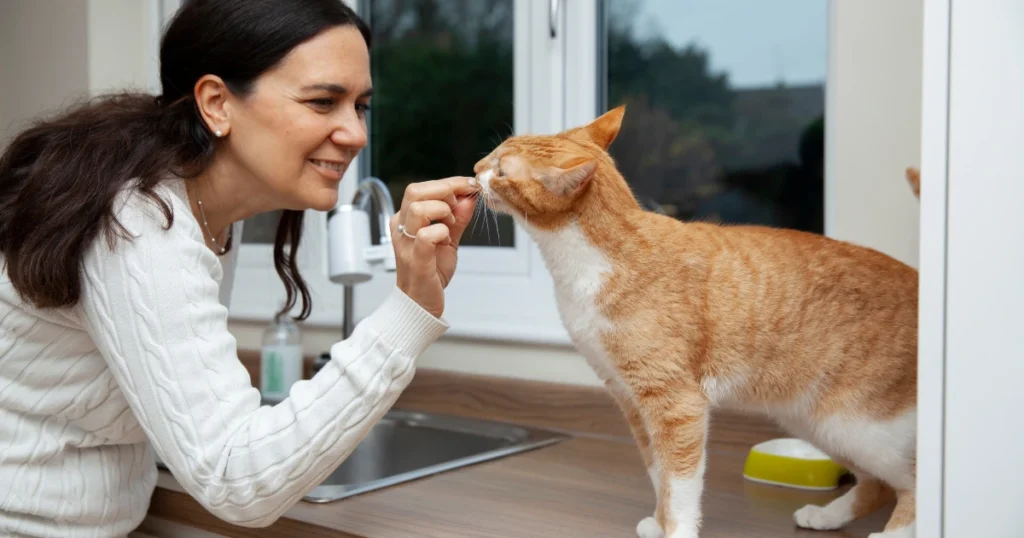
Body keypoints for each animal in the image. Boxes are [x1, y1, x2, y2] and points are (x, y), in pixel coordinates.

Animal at [473, 106, 921, 536]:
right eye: (492, 156)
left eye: (501, 170)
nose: (475, 169)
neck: (591, 263)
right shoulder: (630, 397)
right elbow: (659, 473)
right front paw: (658, 522)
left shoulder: (676, 402)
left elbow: (682, 481)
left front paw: (677, 530)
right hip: (815, 423)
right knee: (878, 485)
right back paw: (827, 516)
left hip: (857, 426)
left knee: (912, 480)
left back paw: (894, 534)